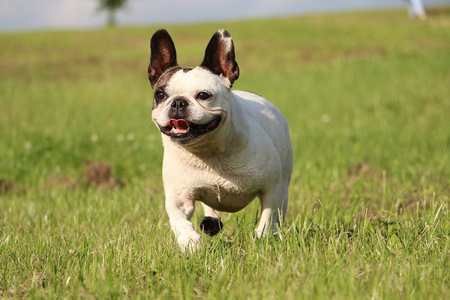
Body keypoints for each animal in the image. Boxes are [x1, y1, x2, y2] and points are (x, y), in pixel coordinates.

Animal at [149, 28, 294, 251]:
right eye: (160, 94)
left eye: (203, 95)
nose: (178, 102)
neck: (208, 152)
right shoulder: (179, 195)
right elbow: (177, 218)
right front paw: (188, 241)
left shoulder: (272, 187)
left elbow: (269, 216)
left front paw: (263, 237)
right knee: (209, 208)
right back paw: (211, 222)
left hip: (284, 180)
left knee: (280, 210)